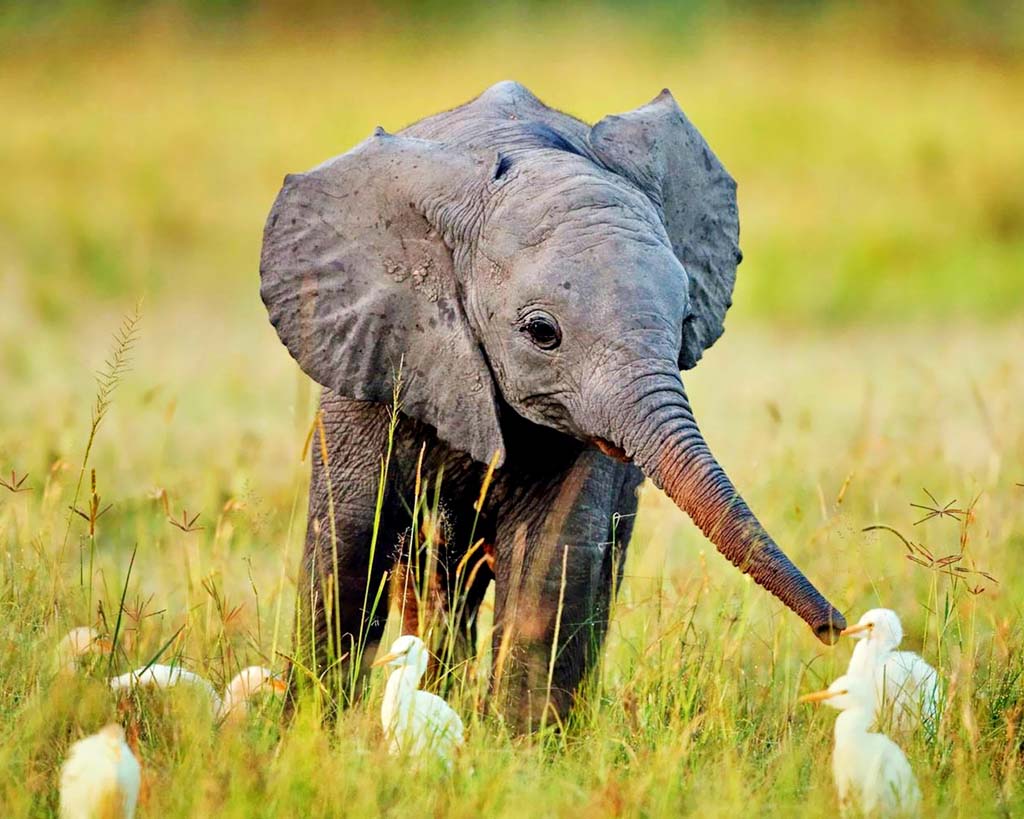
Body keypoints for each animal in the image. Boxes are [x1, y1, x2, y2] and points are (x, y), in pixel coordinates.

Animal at [259, 80, 846, 728]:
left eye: (685, 321)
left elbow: (552, 558)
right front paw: (308, 731)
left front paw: (522, 746)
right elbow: (348, 544)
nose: (835, 628)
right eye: (543, 333)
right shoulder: (371, 349)